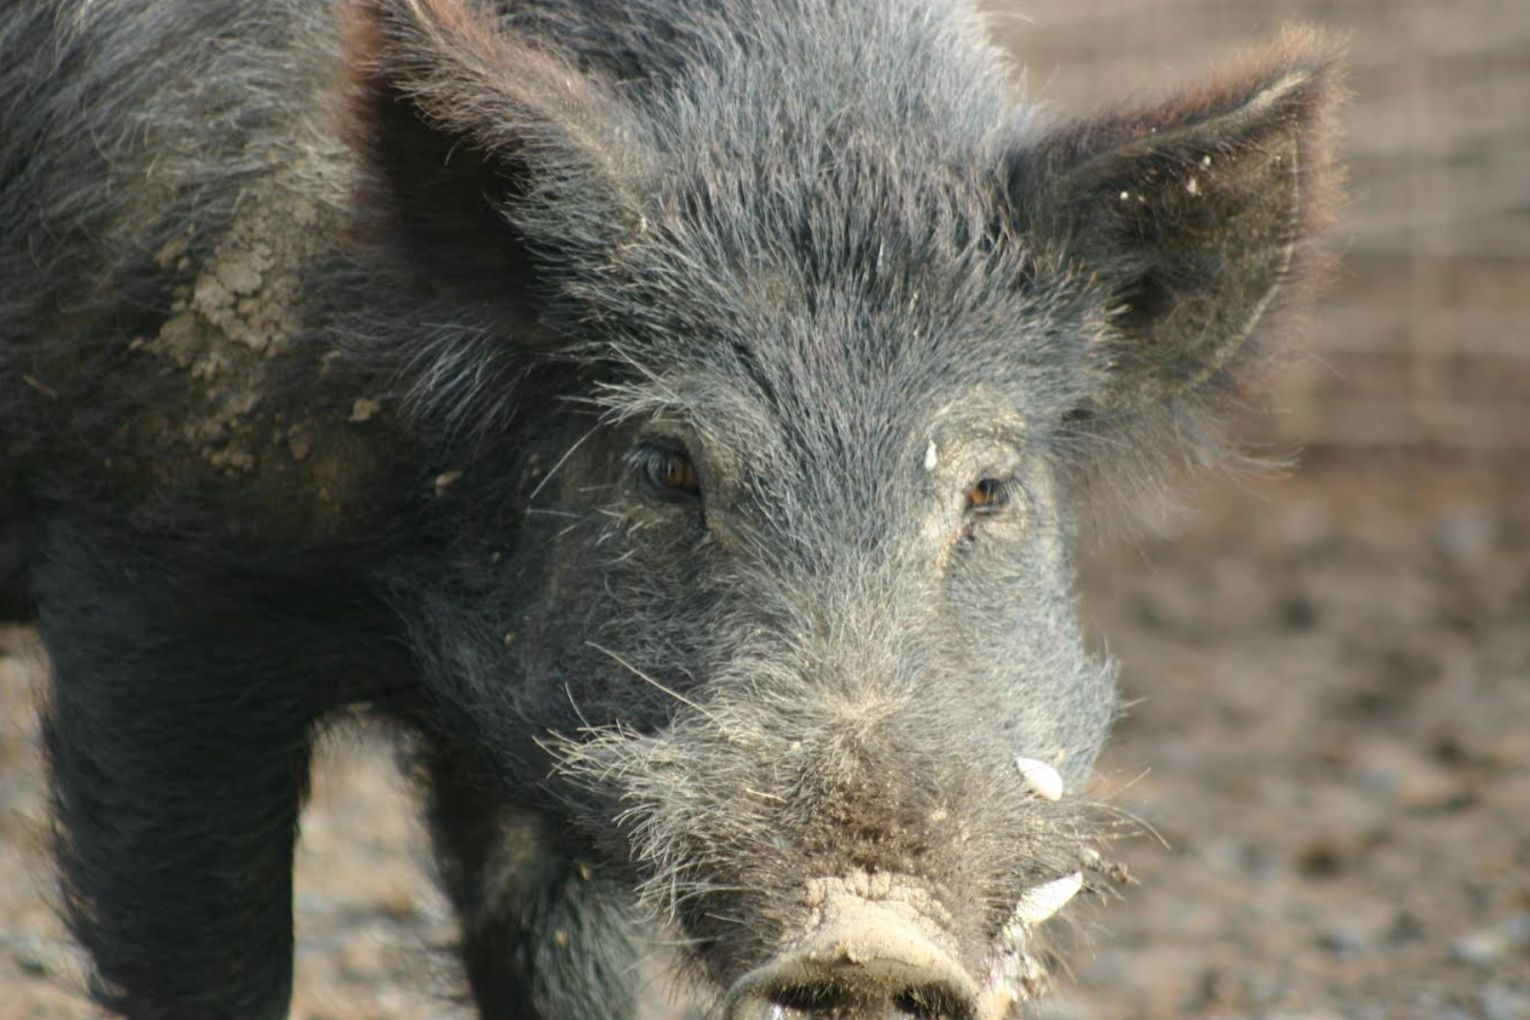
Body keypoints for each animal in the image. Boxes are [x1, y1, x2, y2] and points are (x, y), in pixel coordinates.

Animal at [0, 0, 1342, 1017]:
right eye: (666, 466)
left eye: (989, 488)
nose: (866, 939)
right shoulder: (156, 571)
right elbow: (207, 950)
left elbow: (556, 960)